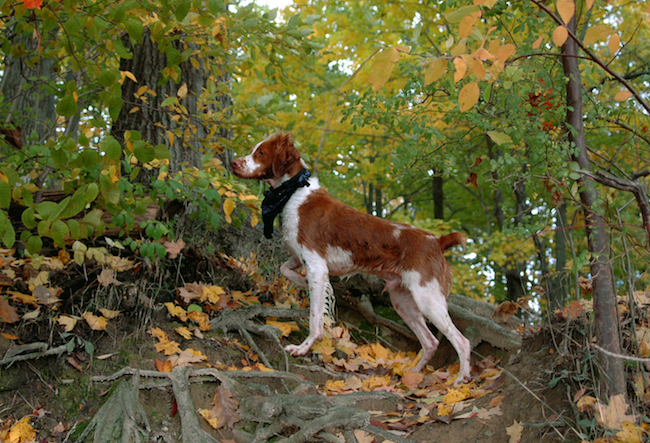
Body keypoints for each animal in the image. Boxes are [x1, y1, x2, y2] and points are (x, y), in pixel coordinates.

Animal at [230, 131, 468, 382]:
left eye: (261, 153)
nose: (233, 163)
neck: (294, 192)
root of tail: (437, 241)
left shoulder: (316, 266)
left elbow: (315, 319)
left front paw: (303, 348)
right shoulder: (300, 258)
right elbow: (285, 271)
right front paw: (309, 285)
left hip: (427, 299)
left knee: (462, 341)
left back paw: (461, 379)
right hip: (403, 301)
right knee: (431, 342)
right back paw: (412, 375)